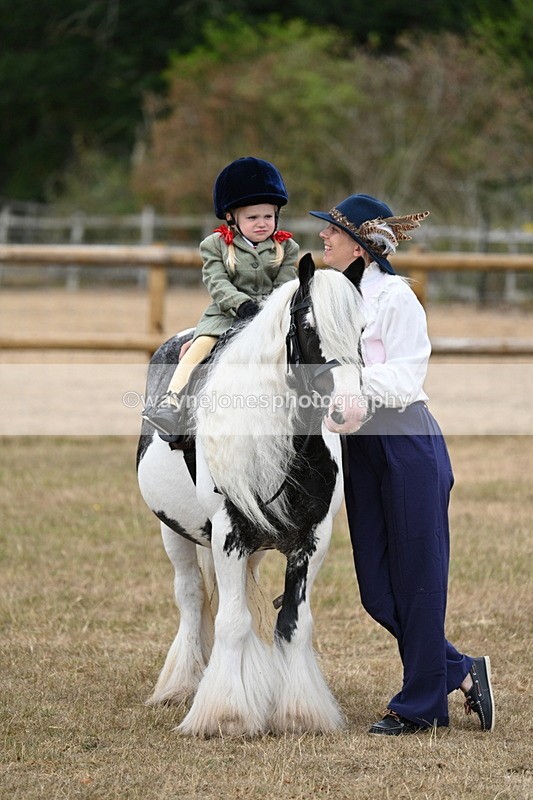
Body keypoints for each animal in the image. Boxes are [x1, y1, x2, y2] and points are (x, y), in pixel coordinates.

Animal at [136, 253, 367, 737]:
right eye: (308, 327)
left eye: (361, 328)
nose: (350, 410)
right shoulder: (229, 534)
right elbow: (231, 621)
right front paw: (225, 714)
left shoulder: (312, 539)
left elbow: (293, 622)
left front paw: (299, 713)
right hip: (175, 534)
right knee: (191, 598)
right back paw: (183, 685)